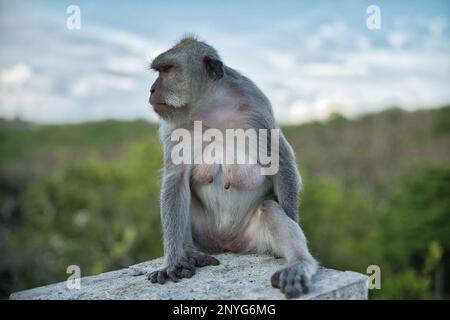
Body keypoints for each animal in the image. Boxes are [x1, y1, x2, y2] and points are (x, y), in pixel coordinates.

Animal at [147, 36, 316, 298]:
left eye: (168, 70)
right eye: (159, 71)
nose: (152, 89)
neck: (209, 110)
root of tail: (228, 245)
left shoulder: (257, 110)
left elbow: (282, 163)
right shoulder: (174, 128)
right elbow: (175, 181)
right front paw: (172, 262)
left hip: (253, 238)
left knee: (270, 207)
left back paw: (299, 264)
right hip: (205, 239)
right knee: (184, 197)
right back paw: (190, 253)